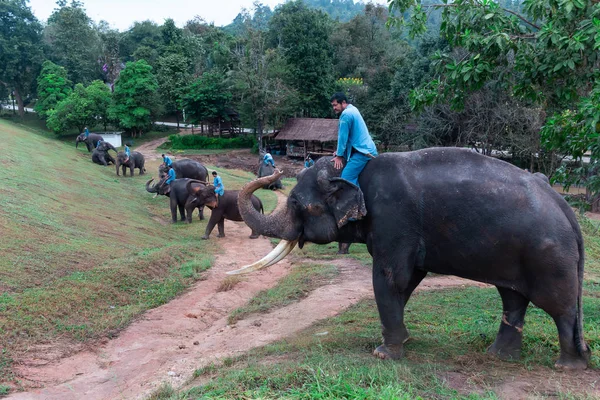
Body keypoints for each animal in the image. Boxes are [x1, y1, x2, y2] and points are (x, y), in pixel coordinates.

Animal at [233, 148, 592, 370]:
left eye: (296, 203)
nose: (275, 172)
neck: (355, 171)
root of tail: (566, 208)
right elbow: (408, 279)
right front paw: (399, 341)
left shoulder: (394, 219)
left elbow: (391, 277)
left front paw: (383, 354)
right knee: (513, 298)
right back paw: (500, 357)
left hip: (548, 255)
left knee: (558, 305)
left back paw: (568, 366)